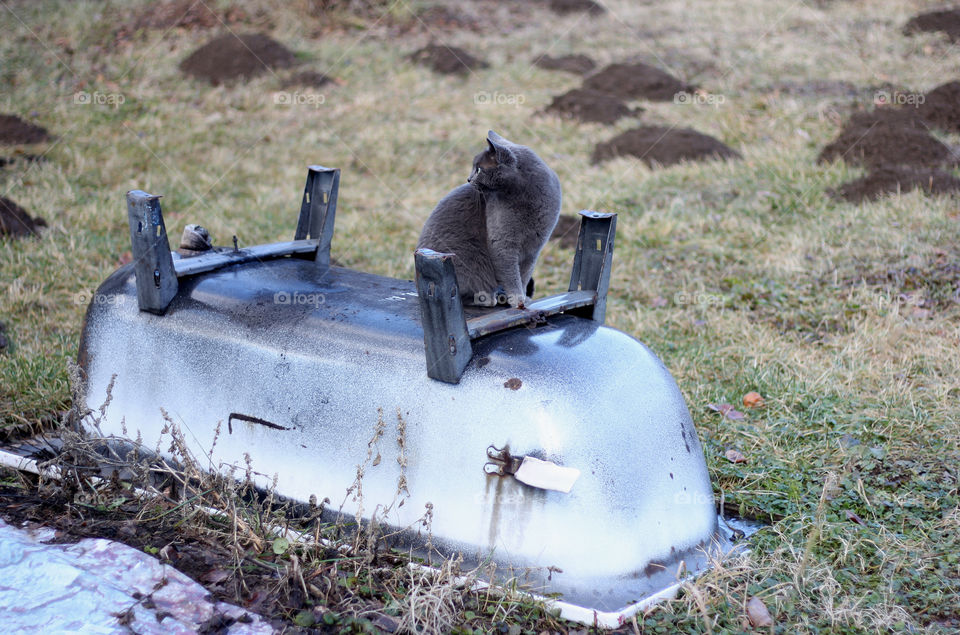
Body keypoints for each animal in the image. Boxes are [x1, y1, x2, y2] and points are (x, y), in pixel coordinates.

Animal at [414, 130, 564, 310]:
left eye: (479, 169)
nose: (468, 179)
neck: (527, 197)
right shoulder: (503, 244)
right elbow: (511, 276)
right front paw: (518, 300)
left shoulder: (534, 247)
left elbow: (524, 275)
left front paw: (524, 299)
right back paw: (488, 298)